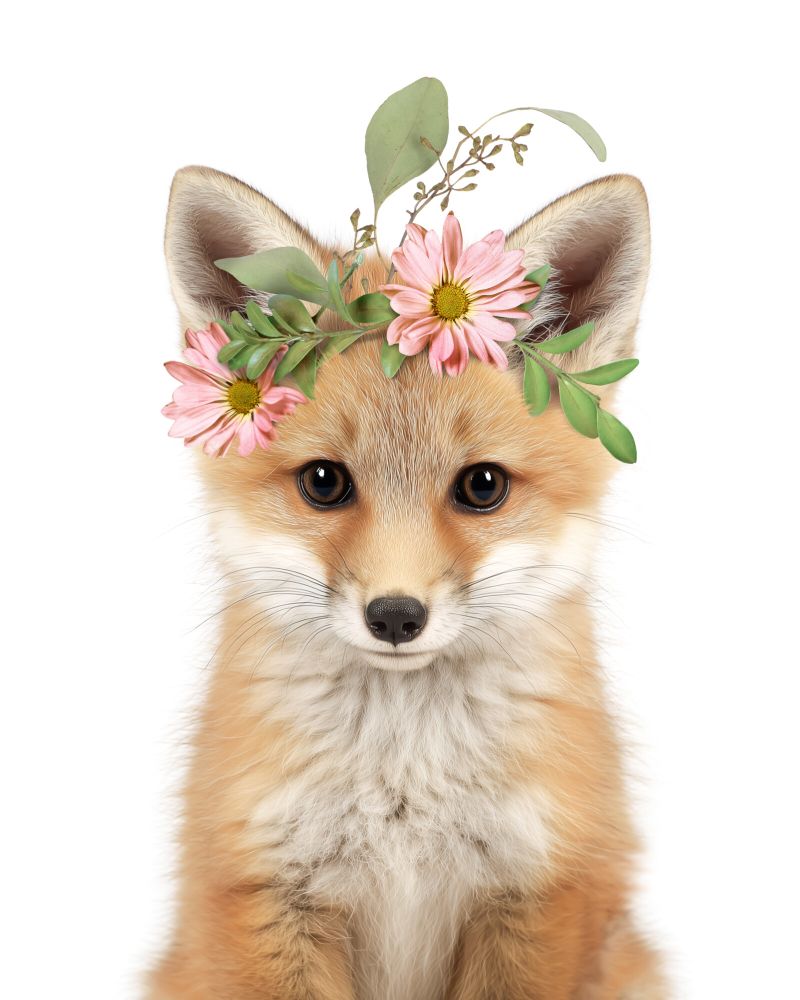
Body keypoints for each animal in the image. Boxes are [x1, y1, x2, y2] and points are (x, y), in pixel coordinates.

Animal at [147, 165, 666, 1000]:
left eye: (483, 486)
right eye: (324, 482)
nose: (395, 616)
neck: (403, 789)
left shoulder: (537, 896)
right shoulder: (268, 898)